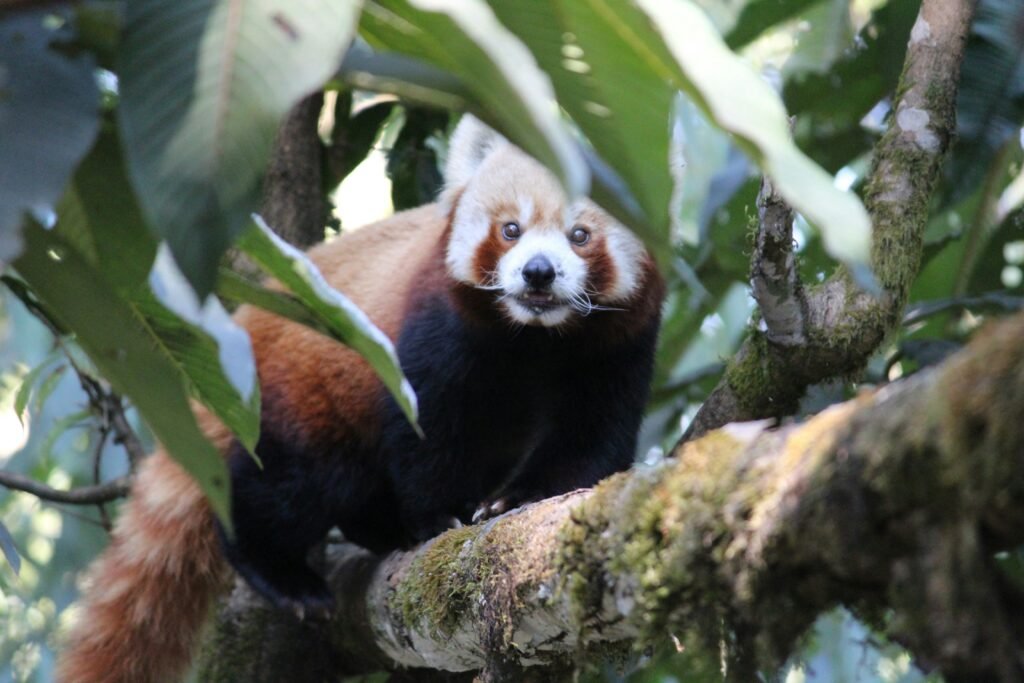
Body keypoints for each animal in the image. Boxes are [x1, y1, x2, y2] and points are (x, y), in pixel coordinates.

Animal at [58, 114, 663, 679]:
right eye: (511, 229)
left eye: (580, 235)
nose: (538, 273)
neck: (535, 338)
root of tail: (244, 326)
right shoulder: (436, 329)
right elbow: (428, 428)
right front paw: (438, 515)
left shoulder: (618, 348)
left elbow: (591, 440)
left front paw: (517, 498)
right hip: (300, 399)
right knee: (290, 484)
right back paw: (280, 567)